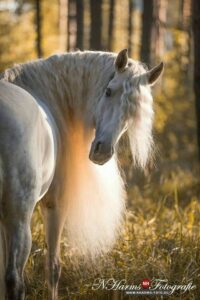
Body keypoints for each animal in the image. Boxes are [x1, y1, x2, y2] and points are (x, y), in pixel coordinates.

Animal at [0, 49, 163, 300]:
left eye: (134, 110)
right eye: (108, 91)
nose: (102, 150)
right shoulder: (55, 204)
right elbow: (53, 267)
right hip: (19, 217)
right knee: (14, 281)